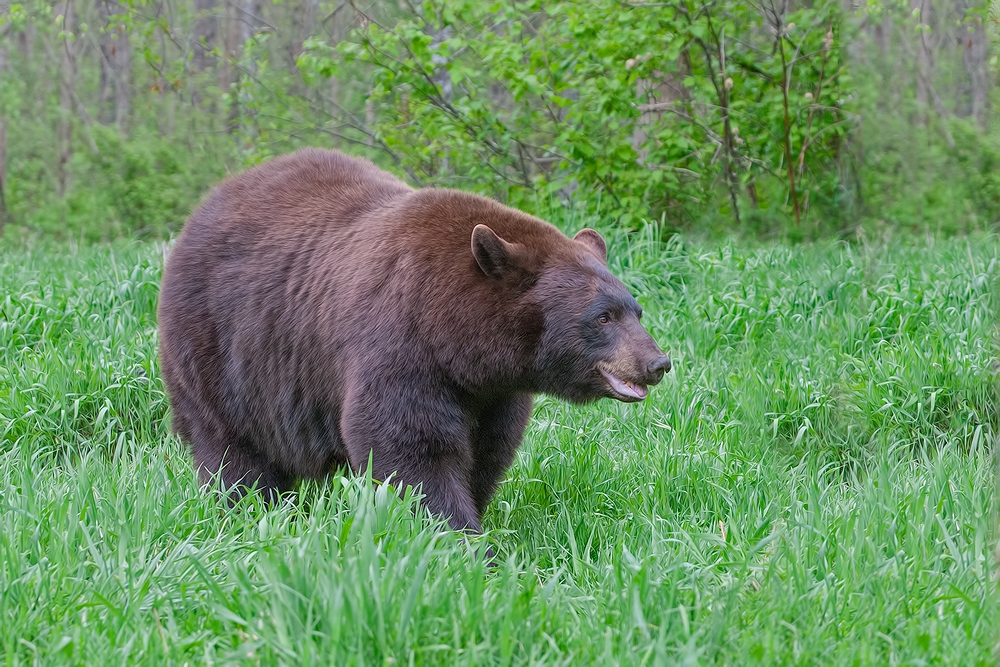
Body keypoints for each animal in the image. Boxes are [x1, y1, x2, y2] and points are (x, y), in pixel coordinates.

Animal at [158, 147, 672, 532]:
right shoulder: (400, 348)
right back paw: (250, 511)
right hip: (219, 351)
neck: (459, 340)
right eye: (602, 317)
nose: (657, 362)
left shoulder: (493, 393)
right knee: (231, 450)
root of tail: (205, 206)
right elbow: (414, 450)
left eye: (636, 310)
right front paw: (463, 541)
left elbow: (487, 452)